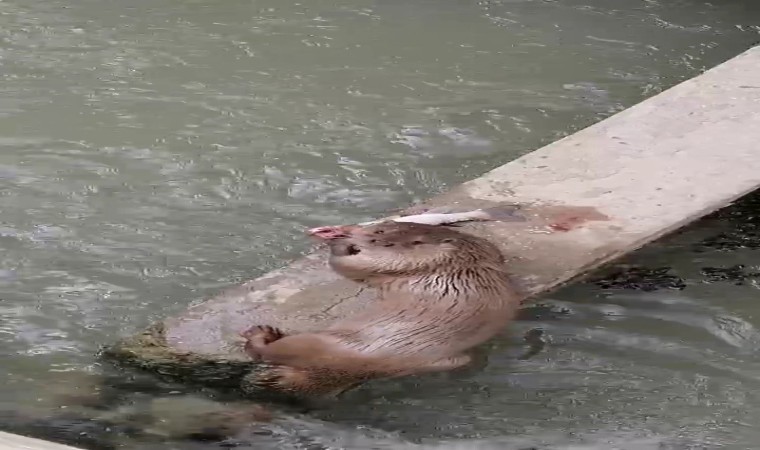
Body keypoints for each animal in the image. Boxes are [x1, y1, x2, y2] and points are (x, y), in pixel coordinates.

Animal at [240, 221, 520, 398]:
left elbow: (359, 265)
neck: (461, 265)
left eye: (380, 232)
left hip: (317, 343)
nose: (351, 232)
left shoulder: (420, 262)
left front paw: (341, 245)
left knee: (268, 352)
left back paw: (262, 334)